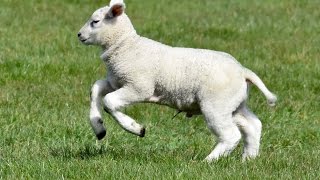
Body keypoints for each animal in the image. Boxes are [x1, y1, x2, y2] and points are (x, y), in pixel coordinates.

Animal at [76, 0, 276, 160]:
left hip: (216, 104)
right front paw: (99, 128)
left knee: (231, 135)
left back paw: (208, 161)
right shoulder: (116, 81)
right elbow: (95, 89)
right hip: (234, 104)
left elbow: (109, 102)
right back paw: (248, 160)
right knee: (253, 125)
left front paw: (136, 128)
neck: (126, 47)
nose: (79, 35)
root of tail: (243, 71)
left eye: (95, 21)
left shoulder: (139, 87)